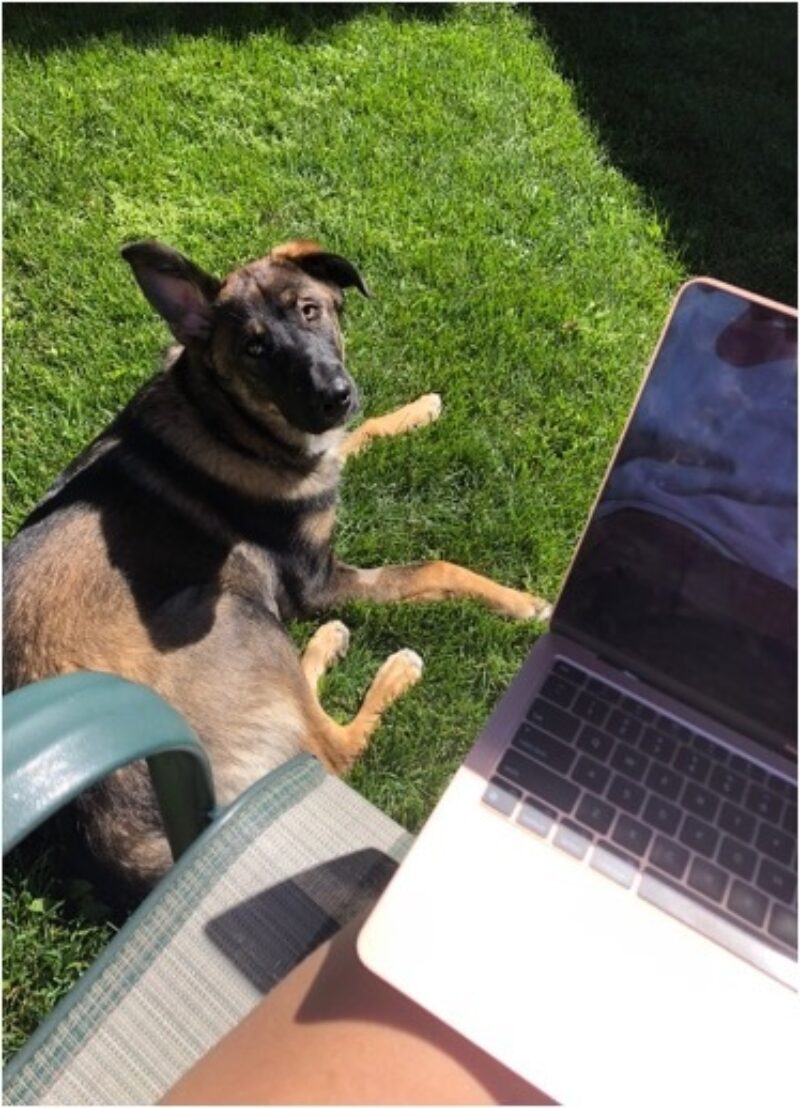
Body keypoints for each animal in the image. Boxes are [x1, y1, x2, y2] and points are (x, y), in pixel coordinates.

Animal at [1, 240, 549, 890]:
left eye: (311, 310)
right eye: (255, 349)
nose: (333, 395)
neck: (224, 416)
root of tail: (114, 838)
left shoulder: (323, 453)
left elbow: (361, 433)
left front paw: (417, 410)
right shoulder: (319, 581)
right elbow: (435, 569)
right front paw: (524, 602)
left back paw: (327, 644)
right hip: (231, 611)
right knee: (332, 749)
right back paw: (392, 669)